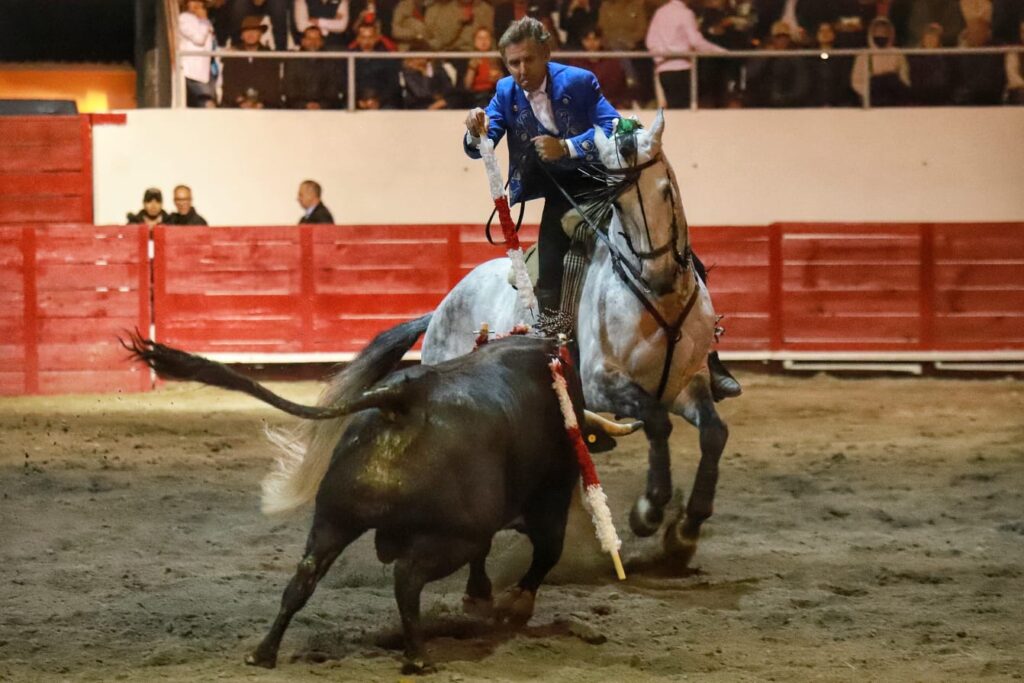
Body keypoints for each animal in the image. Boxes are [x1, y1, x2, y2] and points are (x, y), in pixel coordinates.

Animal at [125, 315, 593, 671]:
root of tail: (402, 397)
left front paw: (481, 596)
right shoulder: (550, 498)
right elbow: (546, 552)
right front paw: (513, 605)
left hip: (334, 519)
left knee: (304, 577)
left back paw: (263, 653)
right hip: (452, 536)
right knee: (408, 579)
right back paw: (418, 658)